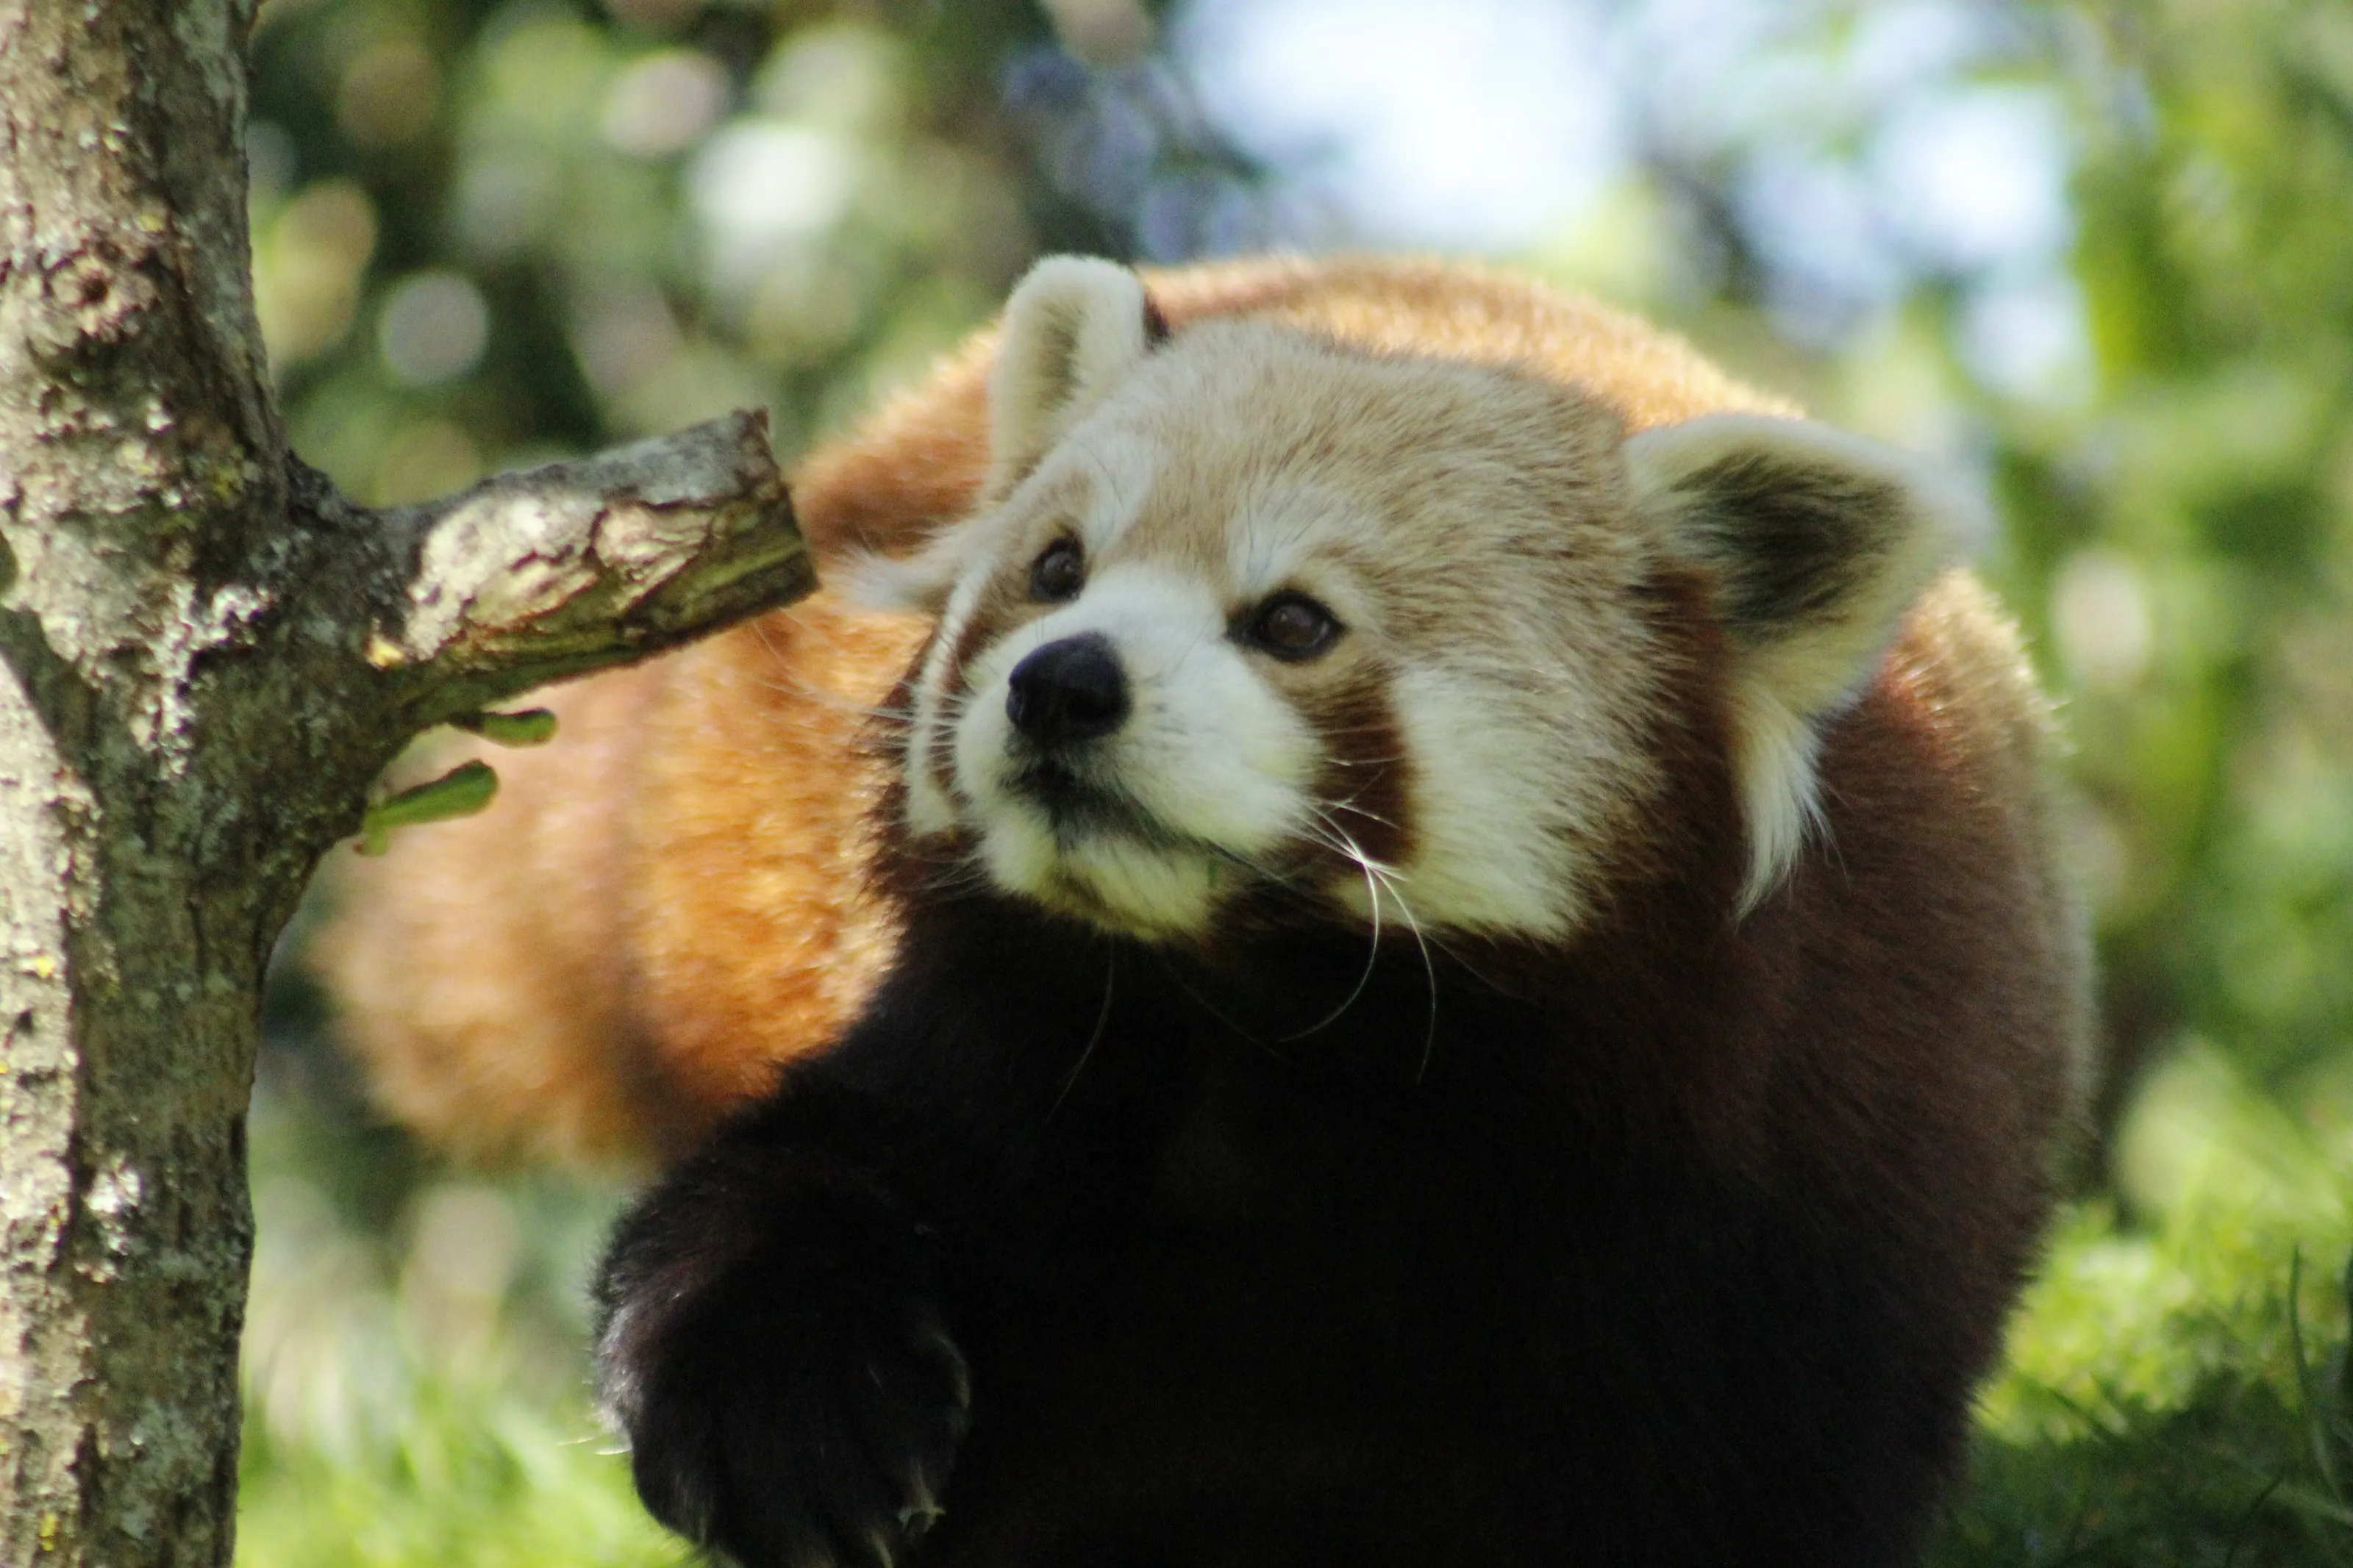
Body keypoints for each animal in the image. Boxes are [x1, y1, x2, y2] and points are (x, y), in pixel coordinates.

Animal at [570, 256, 2092, 1568]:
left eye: (1293, 622)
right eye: (1058, 568)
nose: (1062, 683)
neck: (1284, 1034)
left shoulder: (1795, 1206)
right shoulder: (1013, 1042)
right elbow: (792, 1179)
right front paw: (794, 1420)